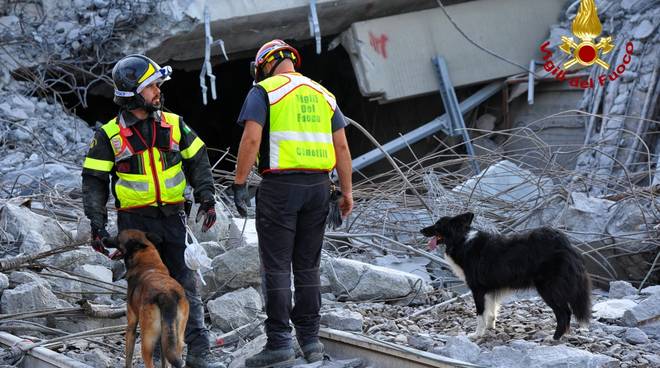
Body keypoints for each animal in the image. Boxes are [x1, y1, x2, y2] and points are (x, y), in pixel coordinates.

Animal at [103, 229, 189, 366]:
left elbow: (128, 357)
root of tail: (166, 295)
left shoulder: (131, 325)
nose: (103, 239)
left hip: (147, 342)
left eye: (118, 236)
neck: (146, 259)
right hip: (177, 339)